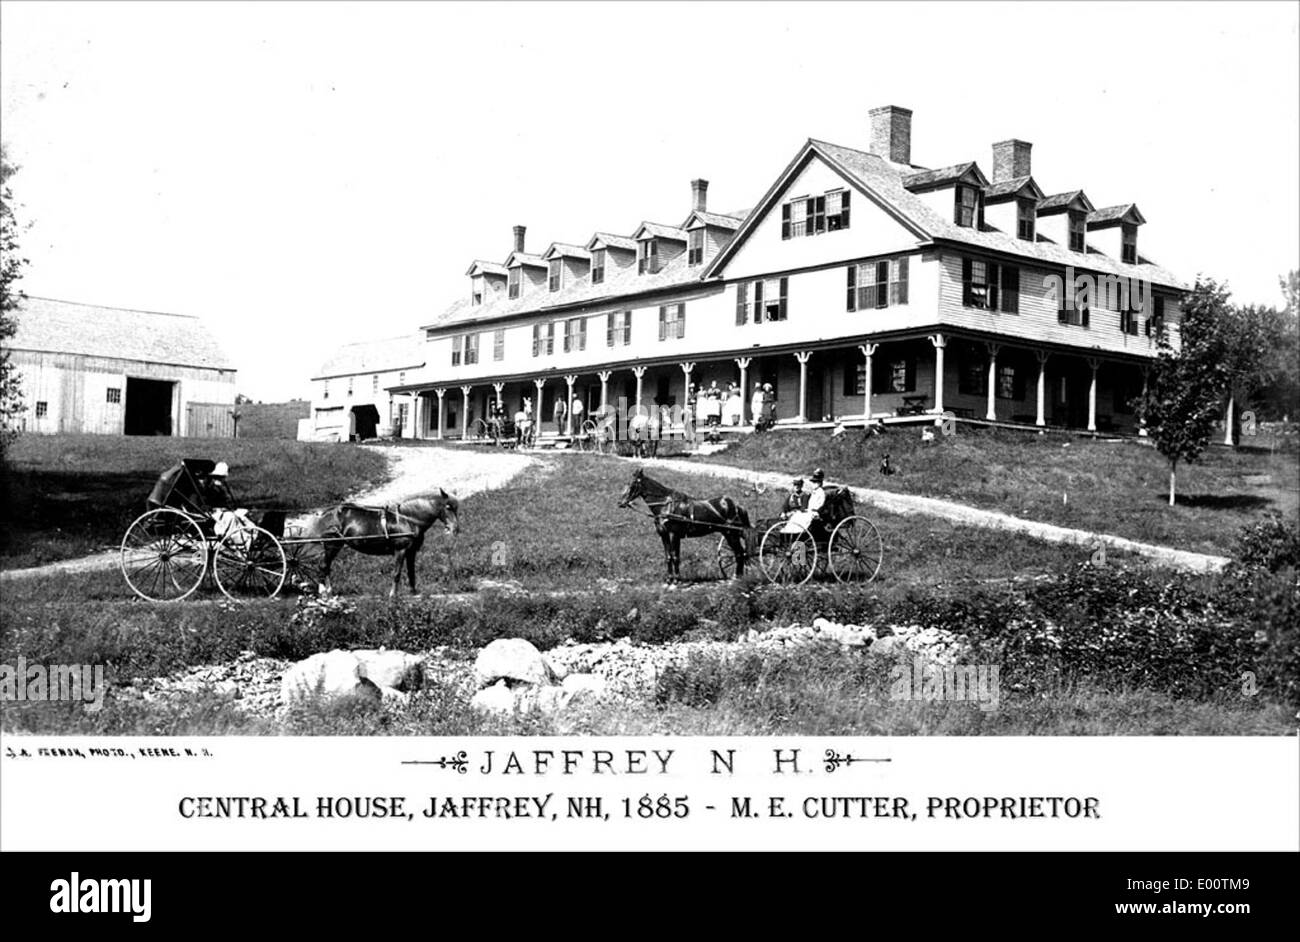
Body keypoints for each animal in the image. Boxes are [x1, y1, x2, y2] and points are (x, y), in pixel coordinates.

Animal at [312, 491, 460, 595]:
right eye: (448, 507)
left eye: (456, 508)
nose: (455, 529)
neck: (408, 520)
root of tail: (326, 513)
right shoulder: (400, 550)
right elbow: (397, 573)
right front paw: (393, 594)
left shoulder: (411, 552)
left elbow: (411, 572)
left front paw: (413, 592)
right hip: (332, 545)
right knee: (323, 566)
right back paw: (324, 591)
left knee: (326, 567)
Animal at [618, 465, 754, 576]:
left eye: (632, 484)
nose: (620, 502)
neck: (666, 505)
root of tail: (736, 506)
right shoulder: (664, 535)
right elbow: (668, 556)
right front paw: (669, 579)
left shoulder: (674, 534)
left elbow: (675, 556)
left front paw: (677, 579)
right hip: (727, 533)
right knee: (740, 553)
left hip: (732, 534)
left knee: (740, 553)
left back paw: (737, 577)